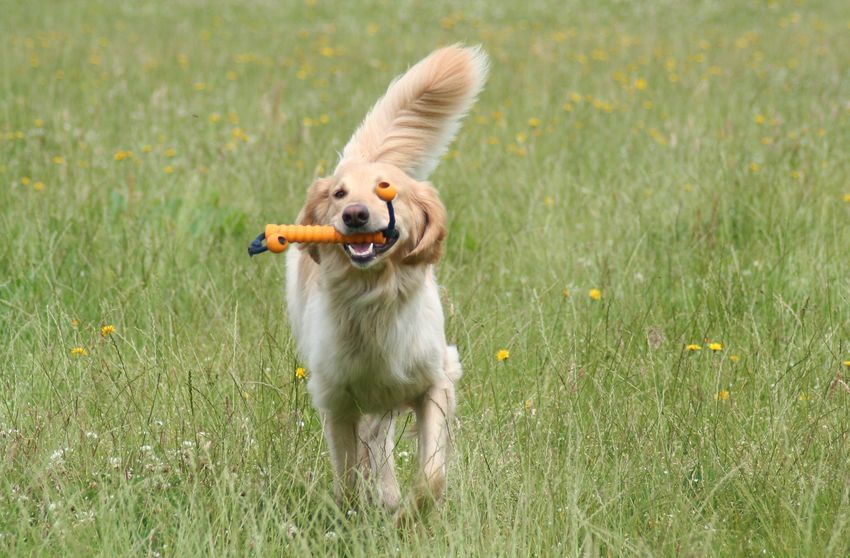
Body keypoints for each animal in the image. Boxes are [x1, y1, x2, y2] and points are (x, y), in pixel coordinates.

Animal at [284, 44, 488, 511]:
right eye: (339, 194)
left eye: (386, 189)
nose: (354, 214)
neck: (373, 298)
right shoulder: (337, 400)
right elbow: (349, 474)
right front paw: (359, 511)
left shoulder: (436, 379)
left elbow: (431, 473)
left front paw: (412, 512)